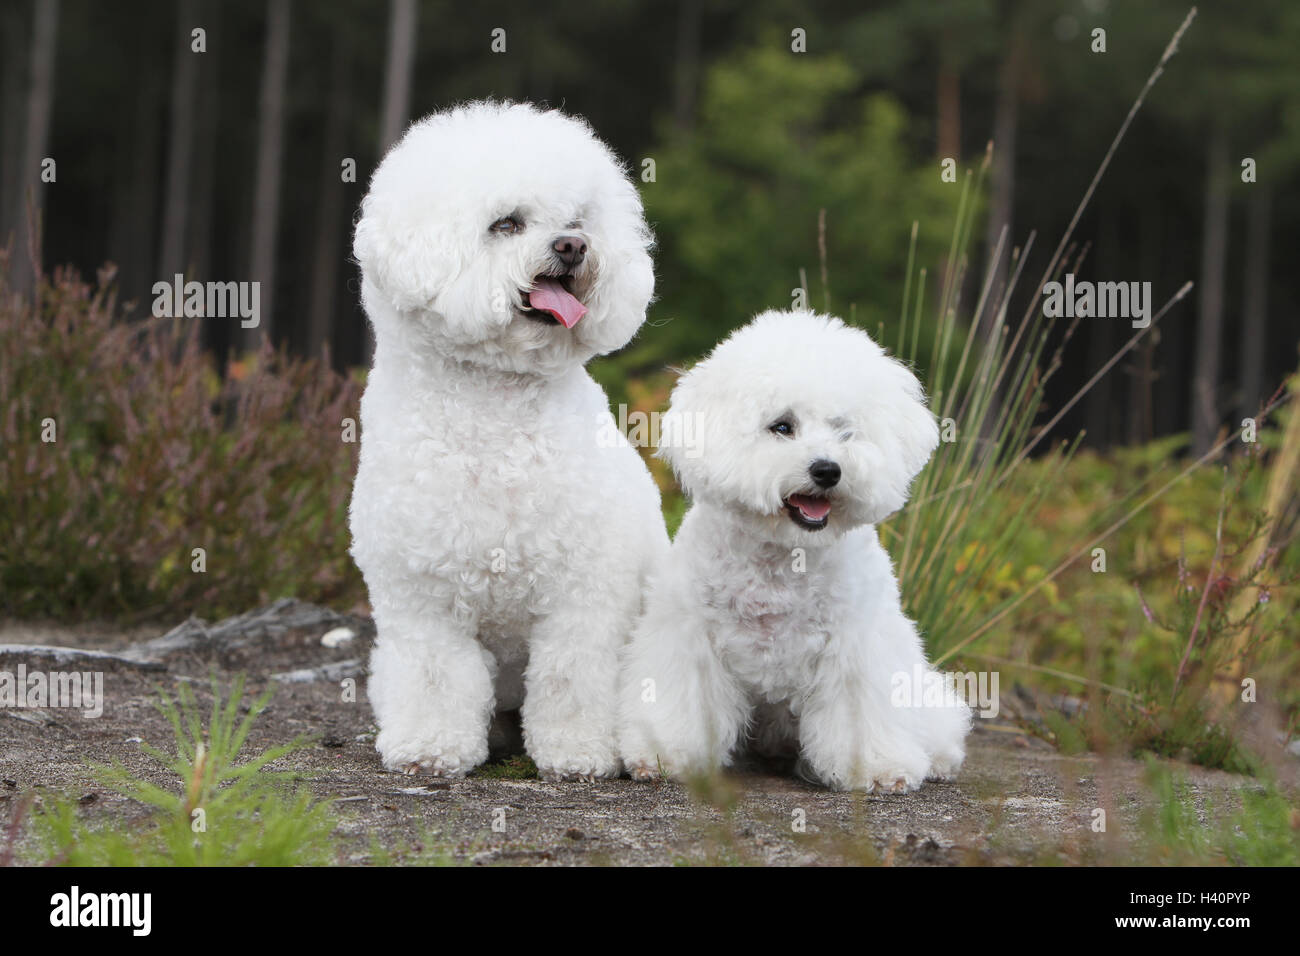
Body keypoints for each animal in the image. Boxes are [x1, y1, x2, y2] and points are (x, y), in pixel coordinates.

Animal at [351, 100, 665, 780]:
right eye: (507, 223)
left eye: (577, 221)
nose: (573, 246)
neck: (495, 408)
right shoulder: (424, 600)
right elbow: (436, 676)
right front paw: (431, 747)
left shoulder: (584, 594)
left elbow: (571, 675)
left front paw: (577, 752)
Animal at [616, 310, 967, 790]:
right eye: (782, 426)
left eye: (844, 431)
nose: (827, 470)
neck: (785, 553)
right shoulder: (688, 637)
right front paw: (665, 753)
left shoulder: (856, 646)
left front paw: (874, 766)